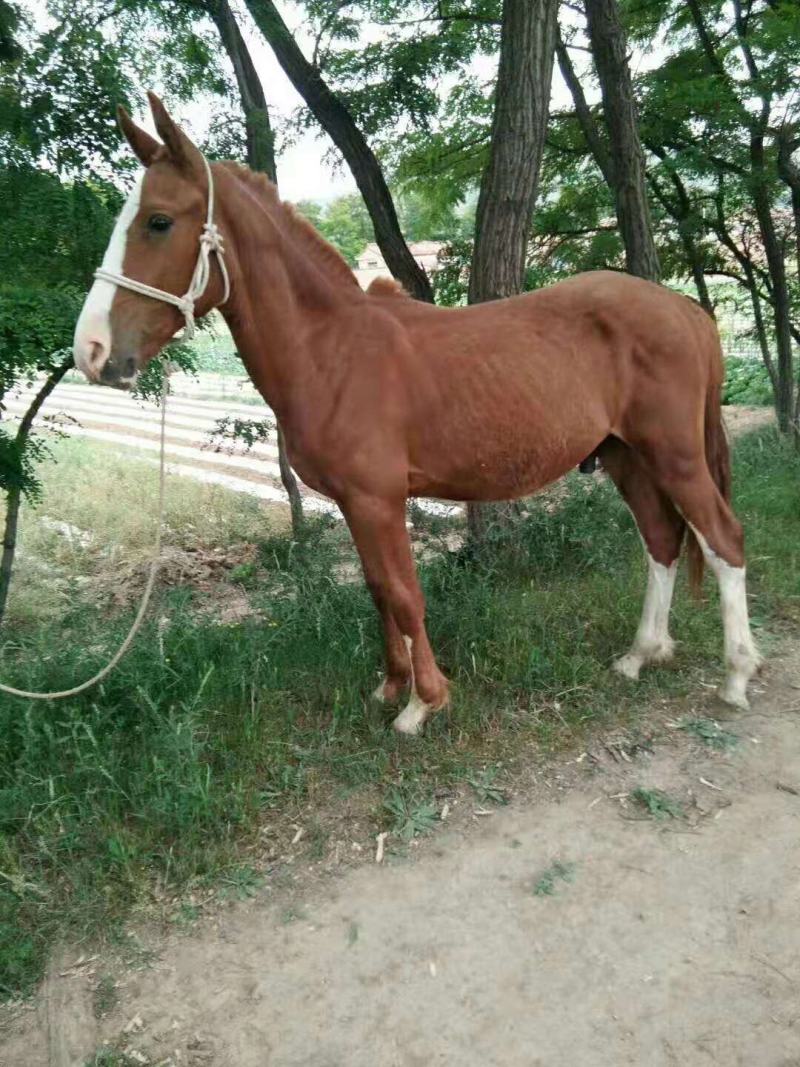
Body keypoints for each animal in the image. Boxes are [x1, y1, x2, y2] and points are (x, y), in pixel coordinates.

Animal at [73, 93, 761, 734]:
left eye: (159, 221)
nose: (92, 352)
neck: (333, 351)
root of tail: (685, 309)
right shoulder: (354, 503)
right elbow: (379, 592)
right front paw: (389, 688)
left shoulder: (379, 500)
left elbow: (405, 596)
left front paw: (422, 704)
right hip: (626, 457)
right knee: (663, 542)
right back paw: (640, 655)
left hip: (675, 456)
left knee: (722, 540)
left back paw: (735, 675)